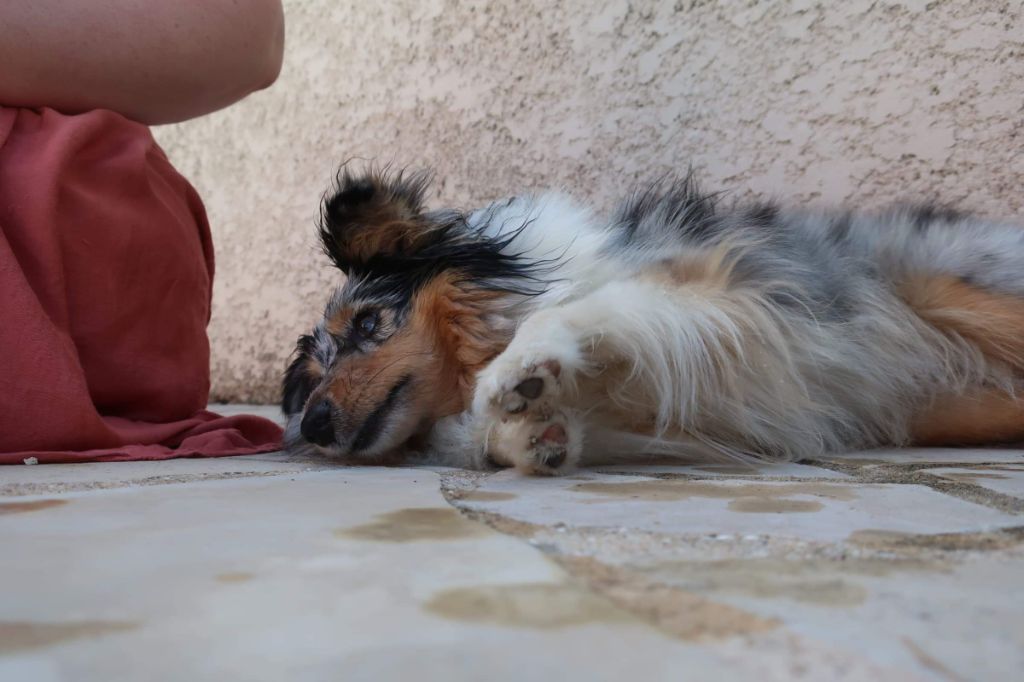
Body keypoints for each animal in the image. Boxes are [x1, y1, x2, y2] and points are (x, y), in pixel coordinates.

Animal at [280, 164, 1024, 473]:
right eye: (313, 373)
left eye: (369, 325)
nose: (311, 425)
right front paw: (531, 435)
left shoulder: (722, 292)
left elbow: (591, 307)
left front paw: (520, 371)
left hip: (953, 293)